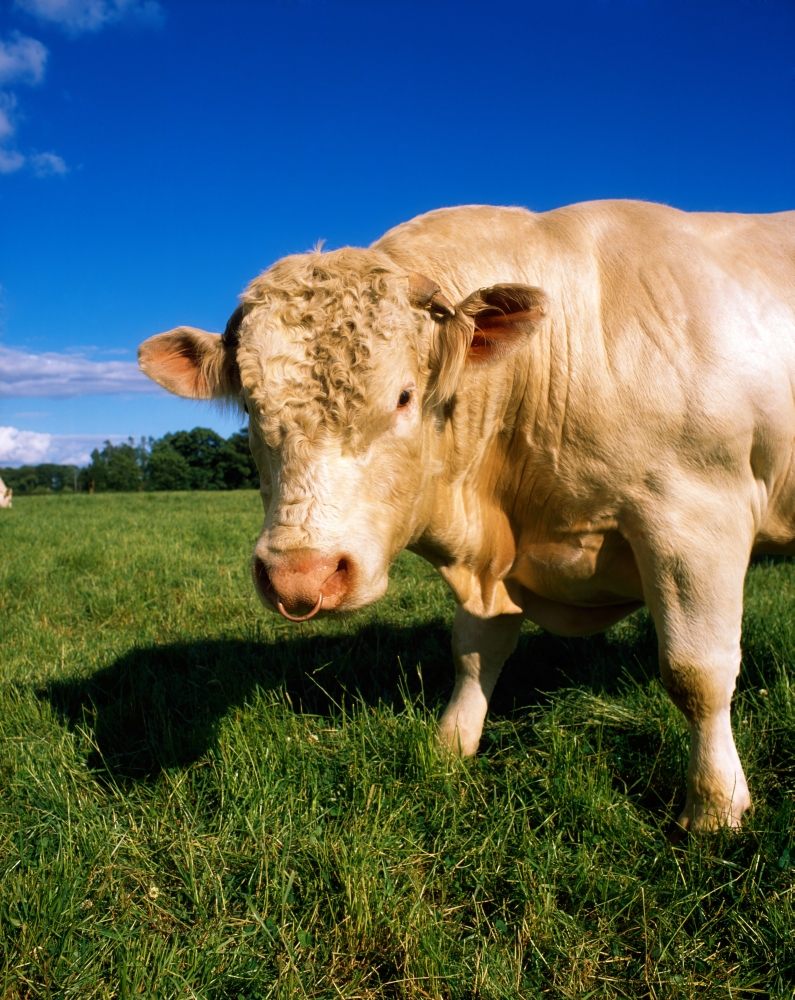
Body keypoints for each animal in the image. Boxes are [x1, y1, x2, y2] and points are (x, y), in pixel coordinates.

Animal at [139, 200, 795, 832]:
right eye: (251, 406)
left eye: (404, 396)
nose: (300, 577)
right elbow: (476, 651)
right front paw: (451, 745)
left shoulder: (695, 516)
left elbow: (696, 673)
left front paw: (714, 807)